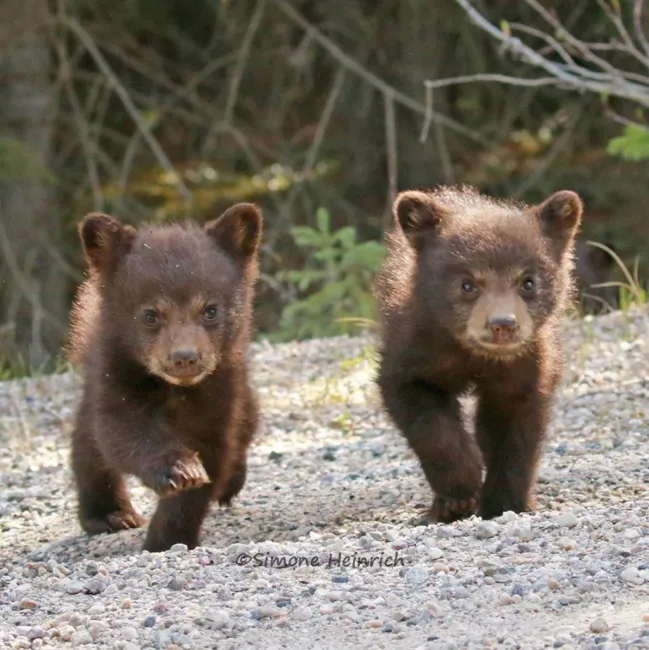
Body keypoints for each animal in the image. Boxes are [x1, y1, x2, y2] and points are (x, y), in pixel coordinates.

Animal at [66, 202, 263, 552]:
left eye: (210, 309)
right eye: (150, 315)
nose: (184, 357)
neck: (176, 390)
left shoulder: (221, 389)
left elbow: (212, 450)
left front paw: (167, 539)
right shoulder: (116, 372)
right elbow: (122, 430)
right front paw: (178, 468)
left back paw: (233, 481)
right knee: (88, 444)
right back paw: (109, 515)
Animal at [374, 185, 583, 522]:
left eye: (528, 282)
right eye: (467, 284)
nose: (502, 324)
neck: (476, 354)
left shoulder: (526, 362)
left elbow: (511, 426)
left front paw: (504, 502)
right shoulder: (418, 343)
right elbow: (418, 406)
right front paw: (461, 489)